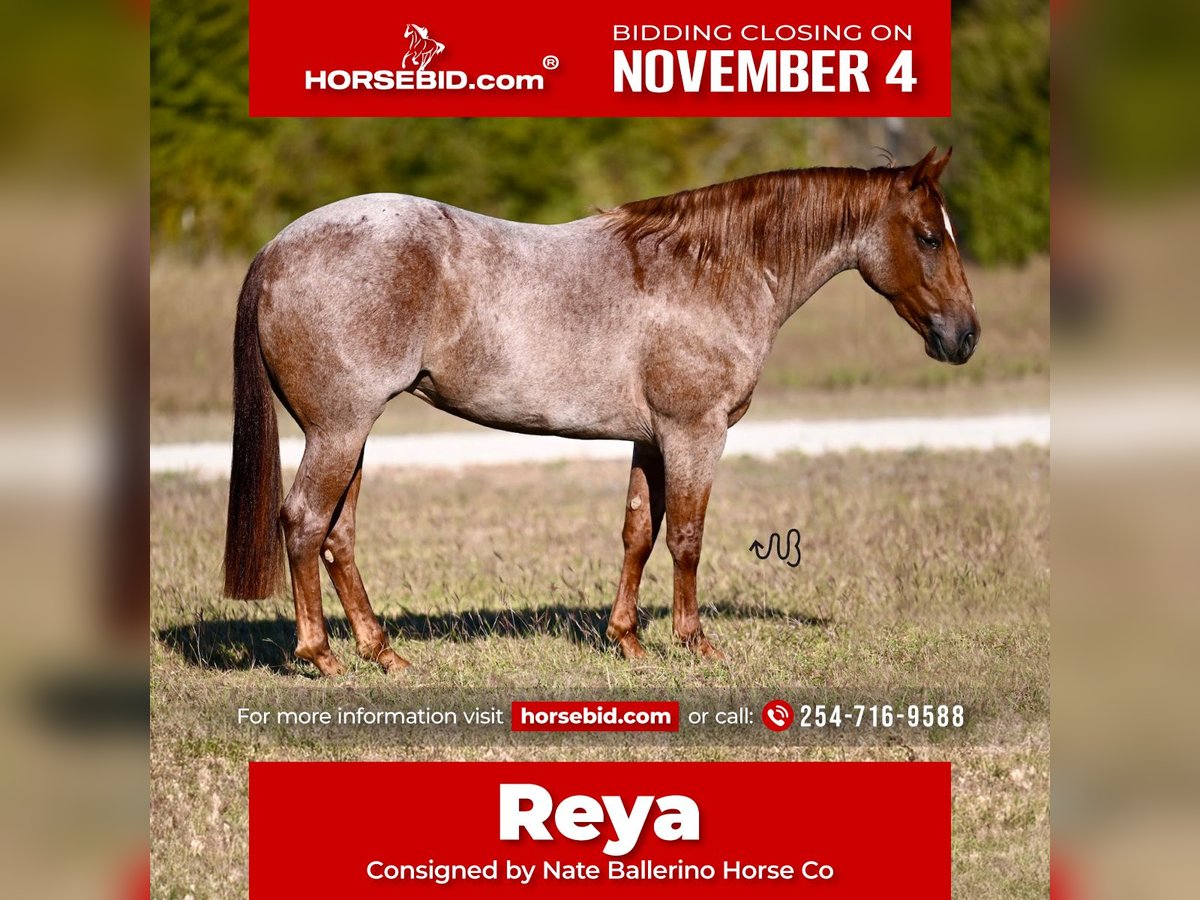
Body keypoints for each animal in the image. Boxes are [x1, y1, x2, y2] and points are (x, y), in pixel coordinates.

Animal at [223, 148, 974, 672]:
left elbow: (638, 532)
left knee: (337, 537)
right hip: (339, 431)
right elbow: (687, 538)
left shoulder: (652, 439)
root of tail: (278, 248)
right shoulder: (695, 433)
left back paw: (385, 653)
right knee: (304, 523)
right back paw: (322, 656)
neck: (709, 268)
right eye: (928, 236)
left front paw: (628, 642)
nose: (964, 336)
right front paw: (695, 643)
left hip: (351, 435)